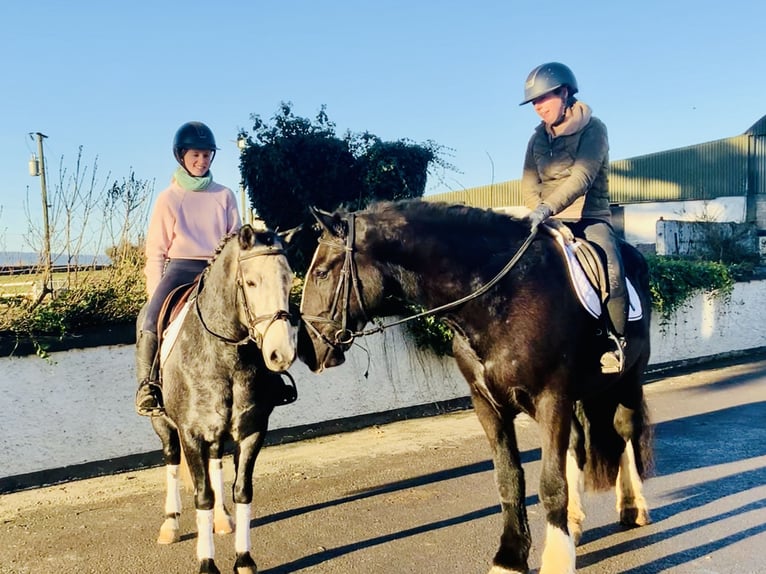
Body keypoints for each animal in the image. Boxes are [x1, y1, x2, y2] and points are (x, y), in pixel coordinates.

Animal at [142, 227, 298, 574]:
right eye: (251, 282)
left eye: (289, 279)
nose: (281, 354)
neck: (225, 354)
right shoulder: (191, 433)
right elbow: (202, 496)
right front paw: (207, 564)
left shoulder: (252, 430)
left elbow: (242, 490)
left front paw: (244, 560)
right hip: (163, 425)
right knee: (172, 460)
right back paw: (170, 524)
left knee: (215, 463)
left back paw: (223, 519)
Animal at [300, 201, 656, 574]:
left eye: (321, 273)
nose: (307, 350)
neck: (500, 299)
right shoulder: (488, 405)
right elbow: (509, 480)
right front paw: (510, 558)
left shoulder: (551, 398)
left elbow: (550, 482)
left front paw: (556, 561)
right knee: (576, 443)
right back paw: (572, 522)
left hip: (628, 380)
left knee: (624, 431)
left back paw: (632, 507)